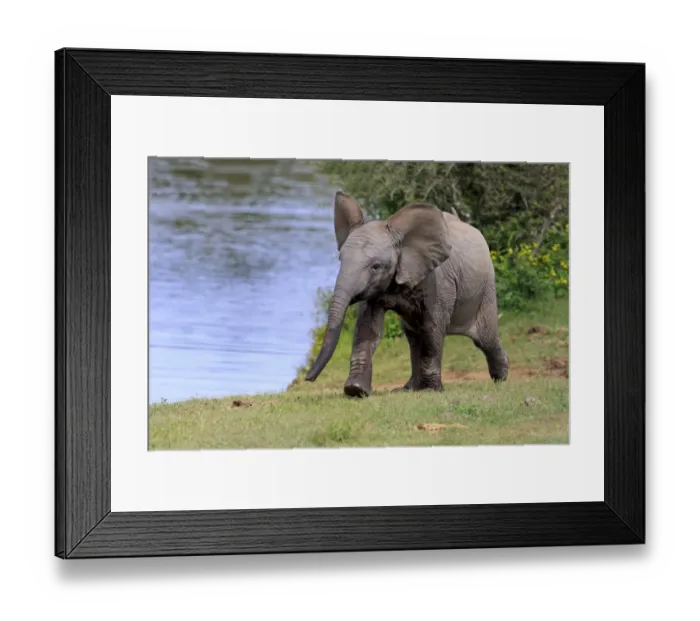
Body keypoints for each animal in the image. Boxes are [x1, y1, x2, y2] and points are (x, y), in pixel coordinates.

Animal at [305, 190, 509, 398]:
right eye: (341, 260)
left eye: (375, 266)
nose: (307, 379)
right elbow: (367, 327)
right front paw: (356, 390)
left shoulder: (438, 281)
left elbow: (433, 327)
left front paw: (432, 391)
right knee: (414, 337)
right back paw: (409, 388)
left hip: (486, 286)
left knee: (485, 338)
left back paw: (501, 377)